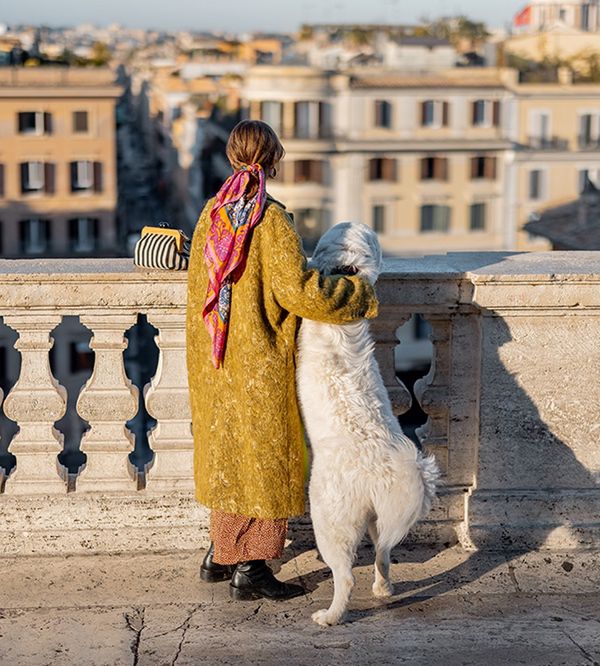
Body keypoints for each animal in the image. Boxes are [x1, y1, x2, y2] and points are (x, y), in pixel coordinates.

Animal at [296, 222, 440, 624]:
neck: (348, 271)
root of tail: (384, 466)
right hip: (380, 517)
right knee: (384, 553)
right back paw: (383, 588)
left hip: (331, 520)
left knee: (344, 575)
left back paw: (330, 616)